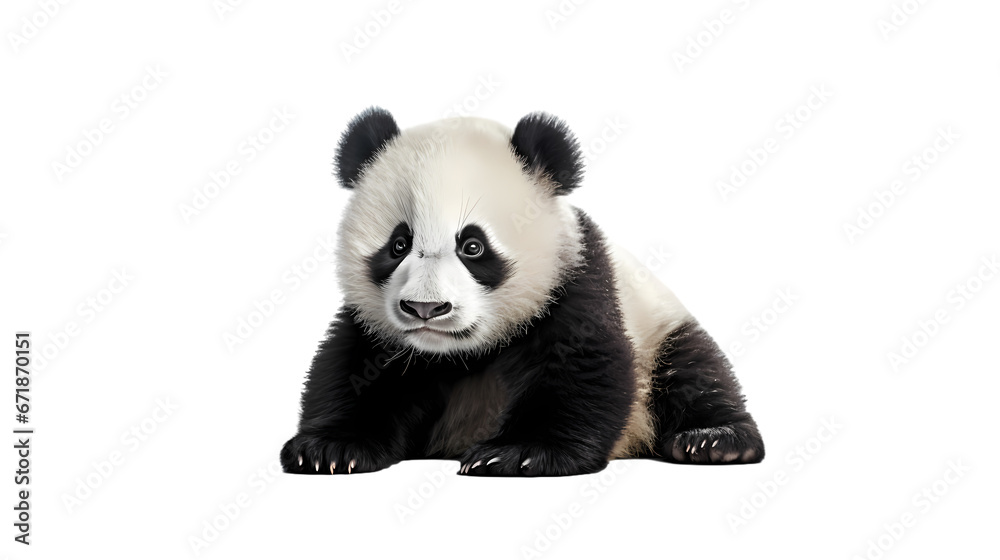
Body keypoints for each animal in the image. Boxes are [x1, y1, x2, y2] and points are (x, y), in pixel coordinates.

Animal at [280, 108, 764, 476]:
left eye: (473, 246)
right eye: (398, 244)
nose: (425, 308)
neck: (459, 353)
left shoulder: (574, 285)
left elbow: (584, 371)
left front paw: (516, 453)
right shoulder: (375, 328)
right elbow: (351, 370)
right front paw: (329, 448)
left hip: (657, 325)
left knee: (693, 372)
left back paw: (713, 441)